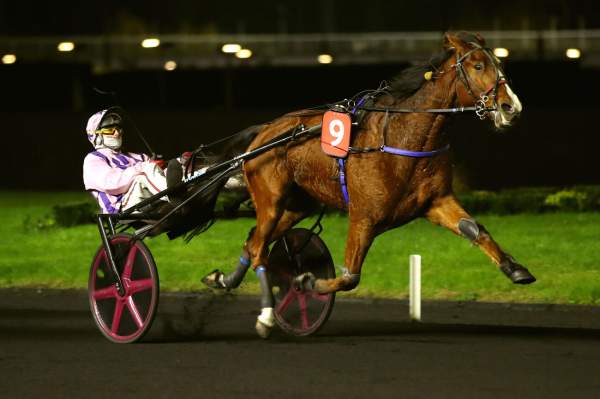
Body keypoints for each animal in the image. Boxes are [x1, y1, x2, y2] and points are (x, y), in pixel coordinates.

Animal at [199, 32, 536, 338]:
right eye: (478, 66)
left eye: (499, 63)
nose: (511, 107)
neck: (403, 137)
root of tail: (264, 132)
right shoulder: (364, 216)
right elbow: (350, 276)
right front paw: (306, 282)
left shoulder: (436, 201)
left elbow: (475, 230)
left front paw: (516, 269)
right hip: (270, 200)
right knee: (258, 248)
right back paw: (267, 315)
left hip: (296, 205)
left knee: (253, 241)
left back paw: (223, 280)